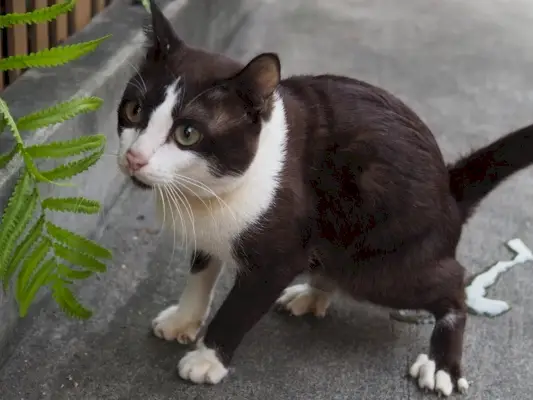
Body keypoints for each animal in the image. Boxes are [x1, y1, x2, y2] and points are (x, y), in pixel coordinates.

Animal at [115, 0, 532, 394]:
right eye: (133, 110)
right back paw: (313, 293)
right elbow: (201, 271)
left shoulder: (279, 256)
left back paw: (443, 364)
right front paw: (184, 319)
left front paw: (207, 359)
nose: (134, 157)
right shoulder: (207, 228)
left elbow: (238, 309)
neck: (206, 193)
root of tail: (449, 191)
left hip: (383, 264)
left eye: (187, 133)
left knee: (451, 281)